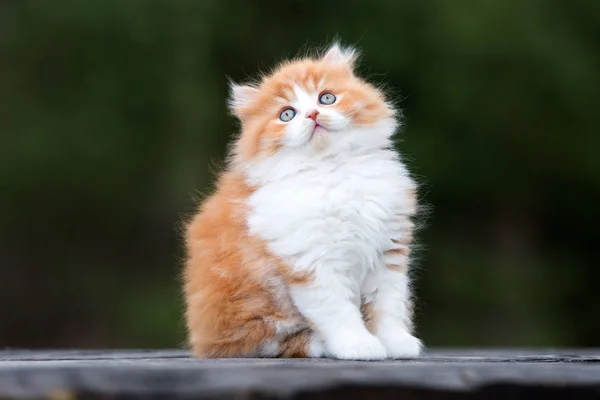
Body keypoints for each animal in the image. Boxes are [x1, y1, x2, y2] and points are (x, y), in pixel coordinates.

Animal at [183, 43, 422, 360]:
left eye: (326, 98)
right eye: (287, 114)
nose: (312, 114)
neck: (333, 169)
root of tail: (202, 341)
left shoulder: (388, 252)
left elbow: (387, 305)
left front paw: (396, 342)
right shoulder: (309, 262)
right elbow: (338, 311)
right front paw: (359, 345)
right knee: (269, 343)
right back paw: (320, 343)